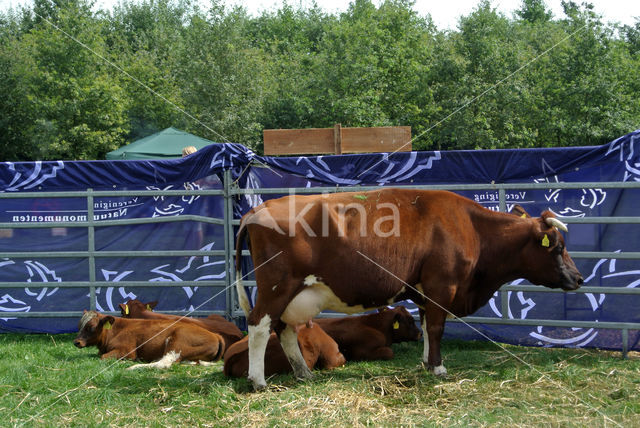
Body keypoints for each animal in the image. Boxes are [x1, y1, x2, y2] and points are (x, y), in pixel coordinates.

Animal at [74, 310, 225, 370]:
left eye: (91, 327)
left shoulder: (126, 351)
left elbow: (103, 357)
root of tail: (215, 335)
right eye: (80, 325)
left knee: (164, 363)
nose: (76, 342)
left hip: (177, 342)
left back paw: (134, 367)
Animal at [232, 189, 584, 390]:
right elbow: (438, 328)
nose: (579, 278)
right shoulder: (443, 285)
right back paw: (258, 381)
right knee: (260, 326)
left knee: (284, 329)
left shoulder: (426, 292)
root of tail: (258, 209)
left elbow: (427, 326)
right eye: (557, 247)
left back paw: (305, 374)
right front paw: (439, 368)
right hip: (276, 287)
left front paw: (426, 363)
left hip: (291, 295)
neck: (470, 225)